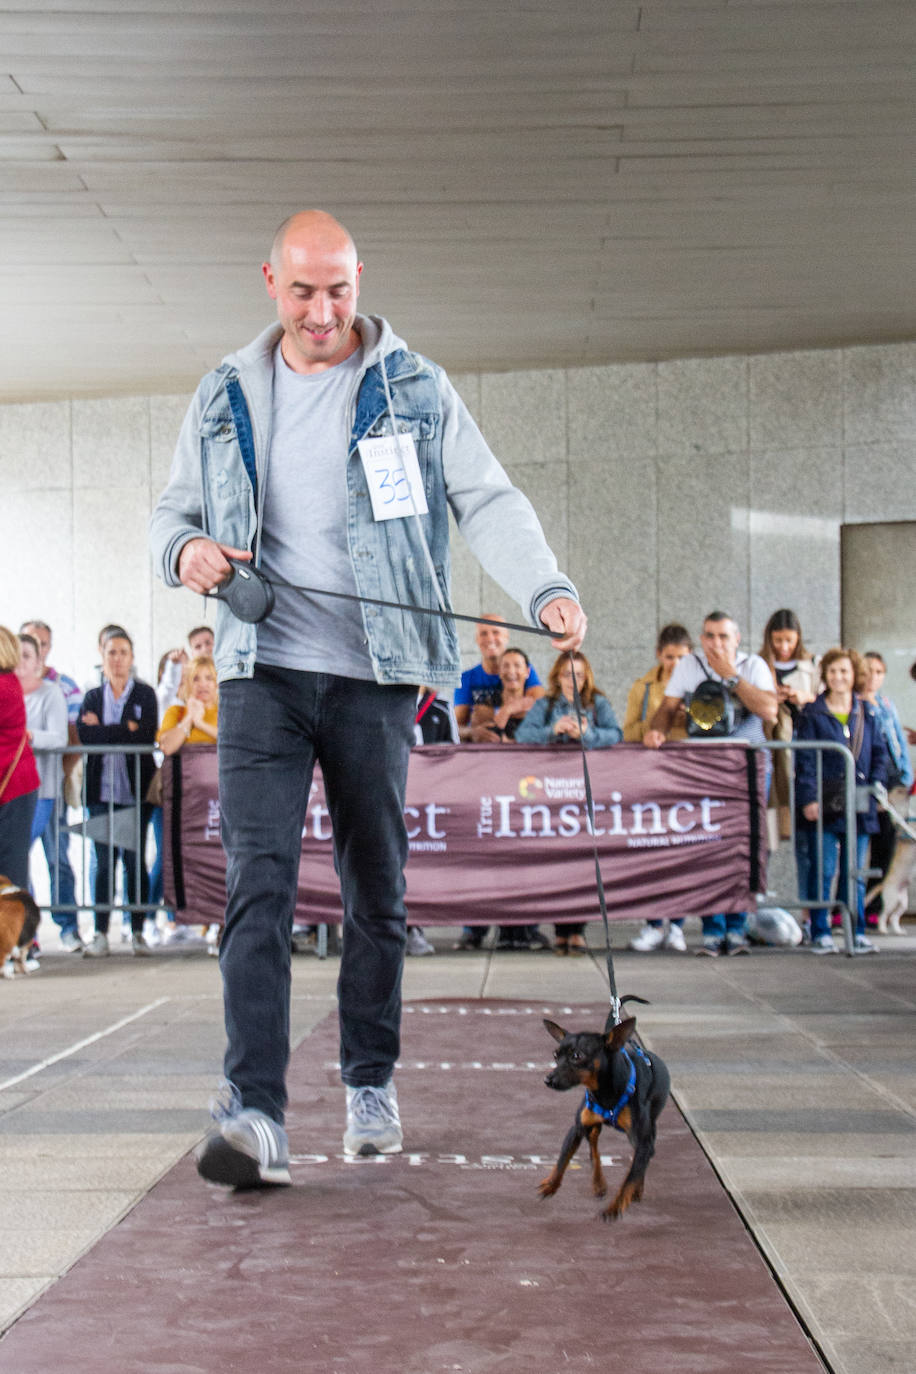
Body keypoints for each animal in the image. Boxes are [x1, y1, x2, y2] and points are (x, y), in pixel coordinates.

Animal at [541, 1000, 670, 1225]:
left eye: (577, 1056)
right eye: (556, 1055)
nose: (548, 1080)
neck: (604, 1093)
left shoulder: (642, 1141)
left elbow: (630, 1177)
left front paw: (615, 1207)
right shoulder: (576, 1129)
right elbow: (562, 1159)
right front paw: (551, 1184)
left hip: (648, 1131)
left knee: (642, 1160)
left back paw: (636, 1190)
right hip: (592, 1127)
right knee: (593, 1145)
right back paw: (598, 1184)